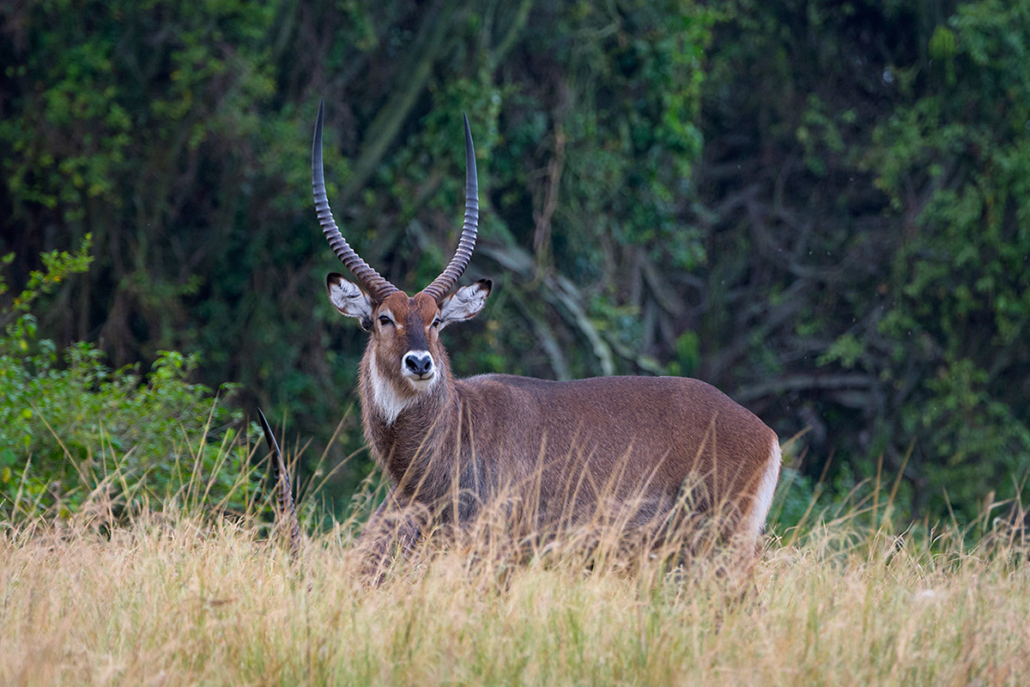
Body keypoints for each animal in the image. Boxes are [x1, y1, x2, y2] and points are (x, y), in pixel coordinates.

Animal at [298, 100, 778, 576]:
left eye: (436, 321)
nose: (419, 363)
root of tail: (766, 433)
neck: (457, 429)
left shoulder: (497, 548)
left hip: (721, 546)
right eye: (383, 318)